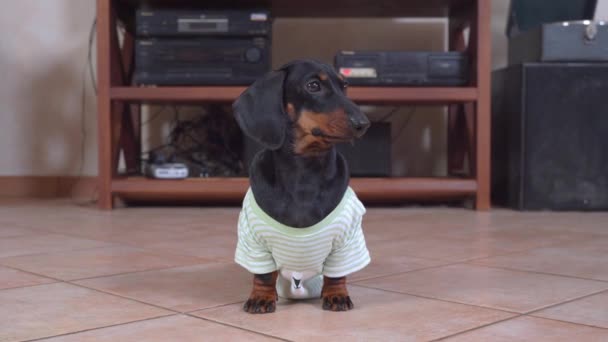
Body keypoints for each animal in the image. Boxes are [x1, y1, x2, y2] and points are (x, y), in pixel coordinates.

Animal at [232, 59, 370, 312]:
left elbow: (336, 274)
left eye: (345, 86)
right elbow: (264, 275)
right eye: (313, 85)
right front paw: (261, 297)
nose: (363, 124)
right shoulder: (254, 239)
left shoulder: (346, 239)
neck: (304, 172)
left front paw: (336, 294)